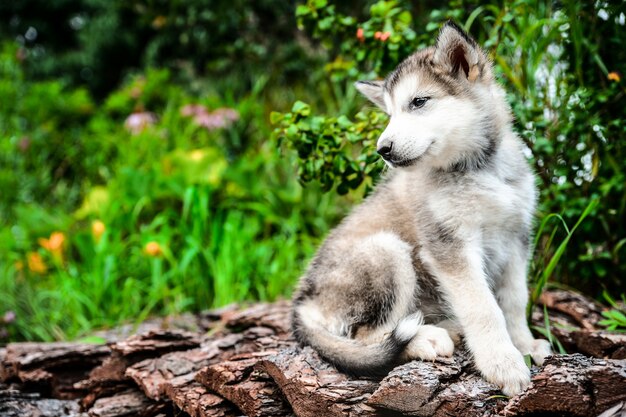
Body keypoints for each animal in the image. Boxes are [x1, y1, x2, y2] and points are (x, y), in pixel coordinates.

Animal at [290, 21, 548, 394]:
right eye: (390, 114)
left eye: (419, 102)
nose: (383, 149)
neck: (479, 169)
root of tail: (302, 303)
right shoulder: (449, 246)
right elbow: (483, 307)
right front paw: (503, 363)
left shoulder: (515, 238)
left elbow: (514, 301)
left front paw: (524, 345)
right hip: (387, 251)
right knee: (369, 336)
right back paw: (426, 339)